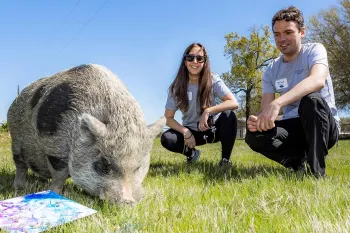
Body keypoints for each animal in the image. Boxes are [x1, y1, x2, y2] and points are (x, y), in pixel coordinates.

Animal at [7, 63, 164, 204]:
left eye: (138, 166)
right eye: (104, 164)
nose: (128, 201)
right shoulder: (55, 148)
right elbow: (59, 175)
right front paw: (56, 194)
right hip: (16, 141)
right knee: (20, 165)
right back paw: (19, 187)